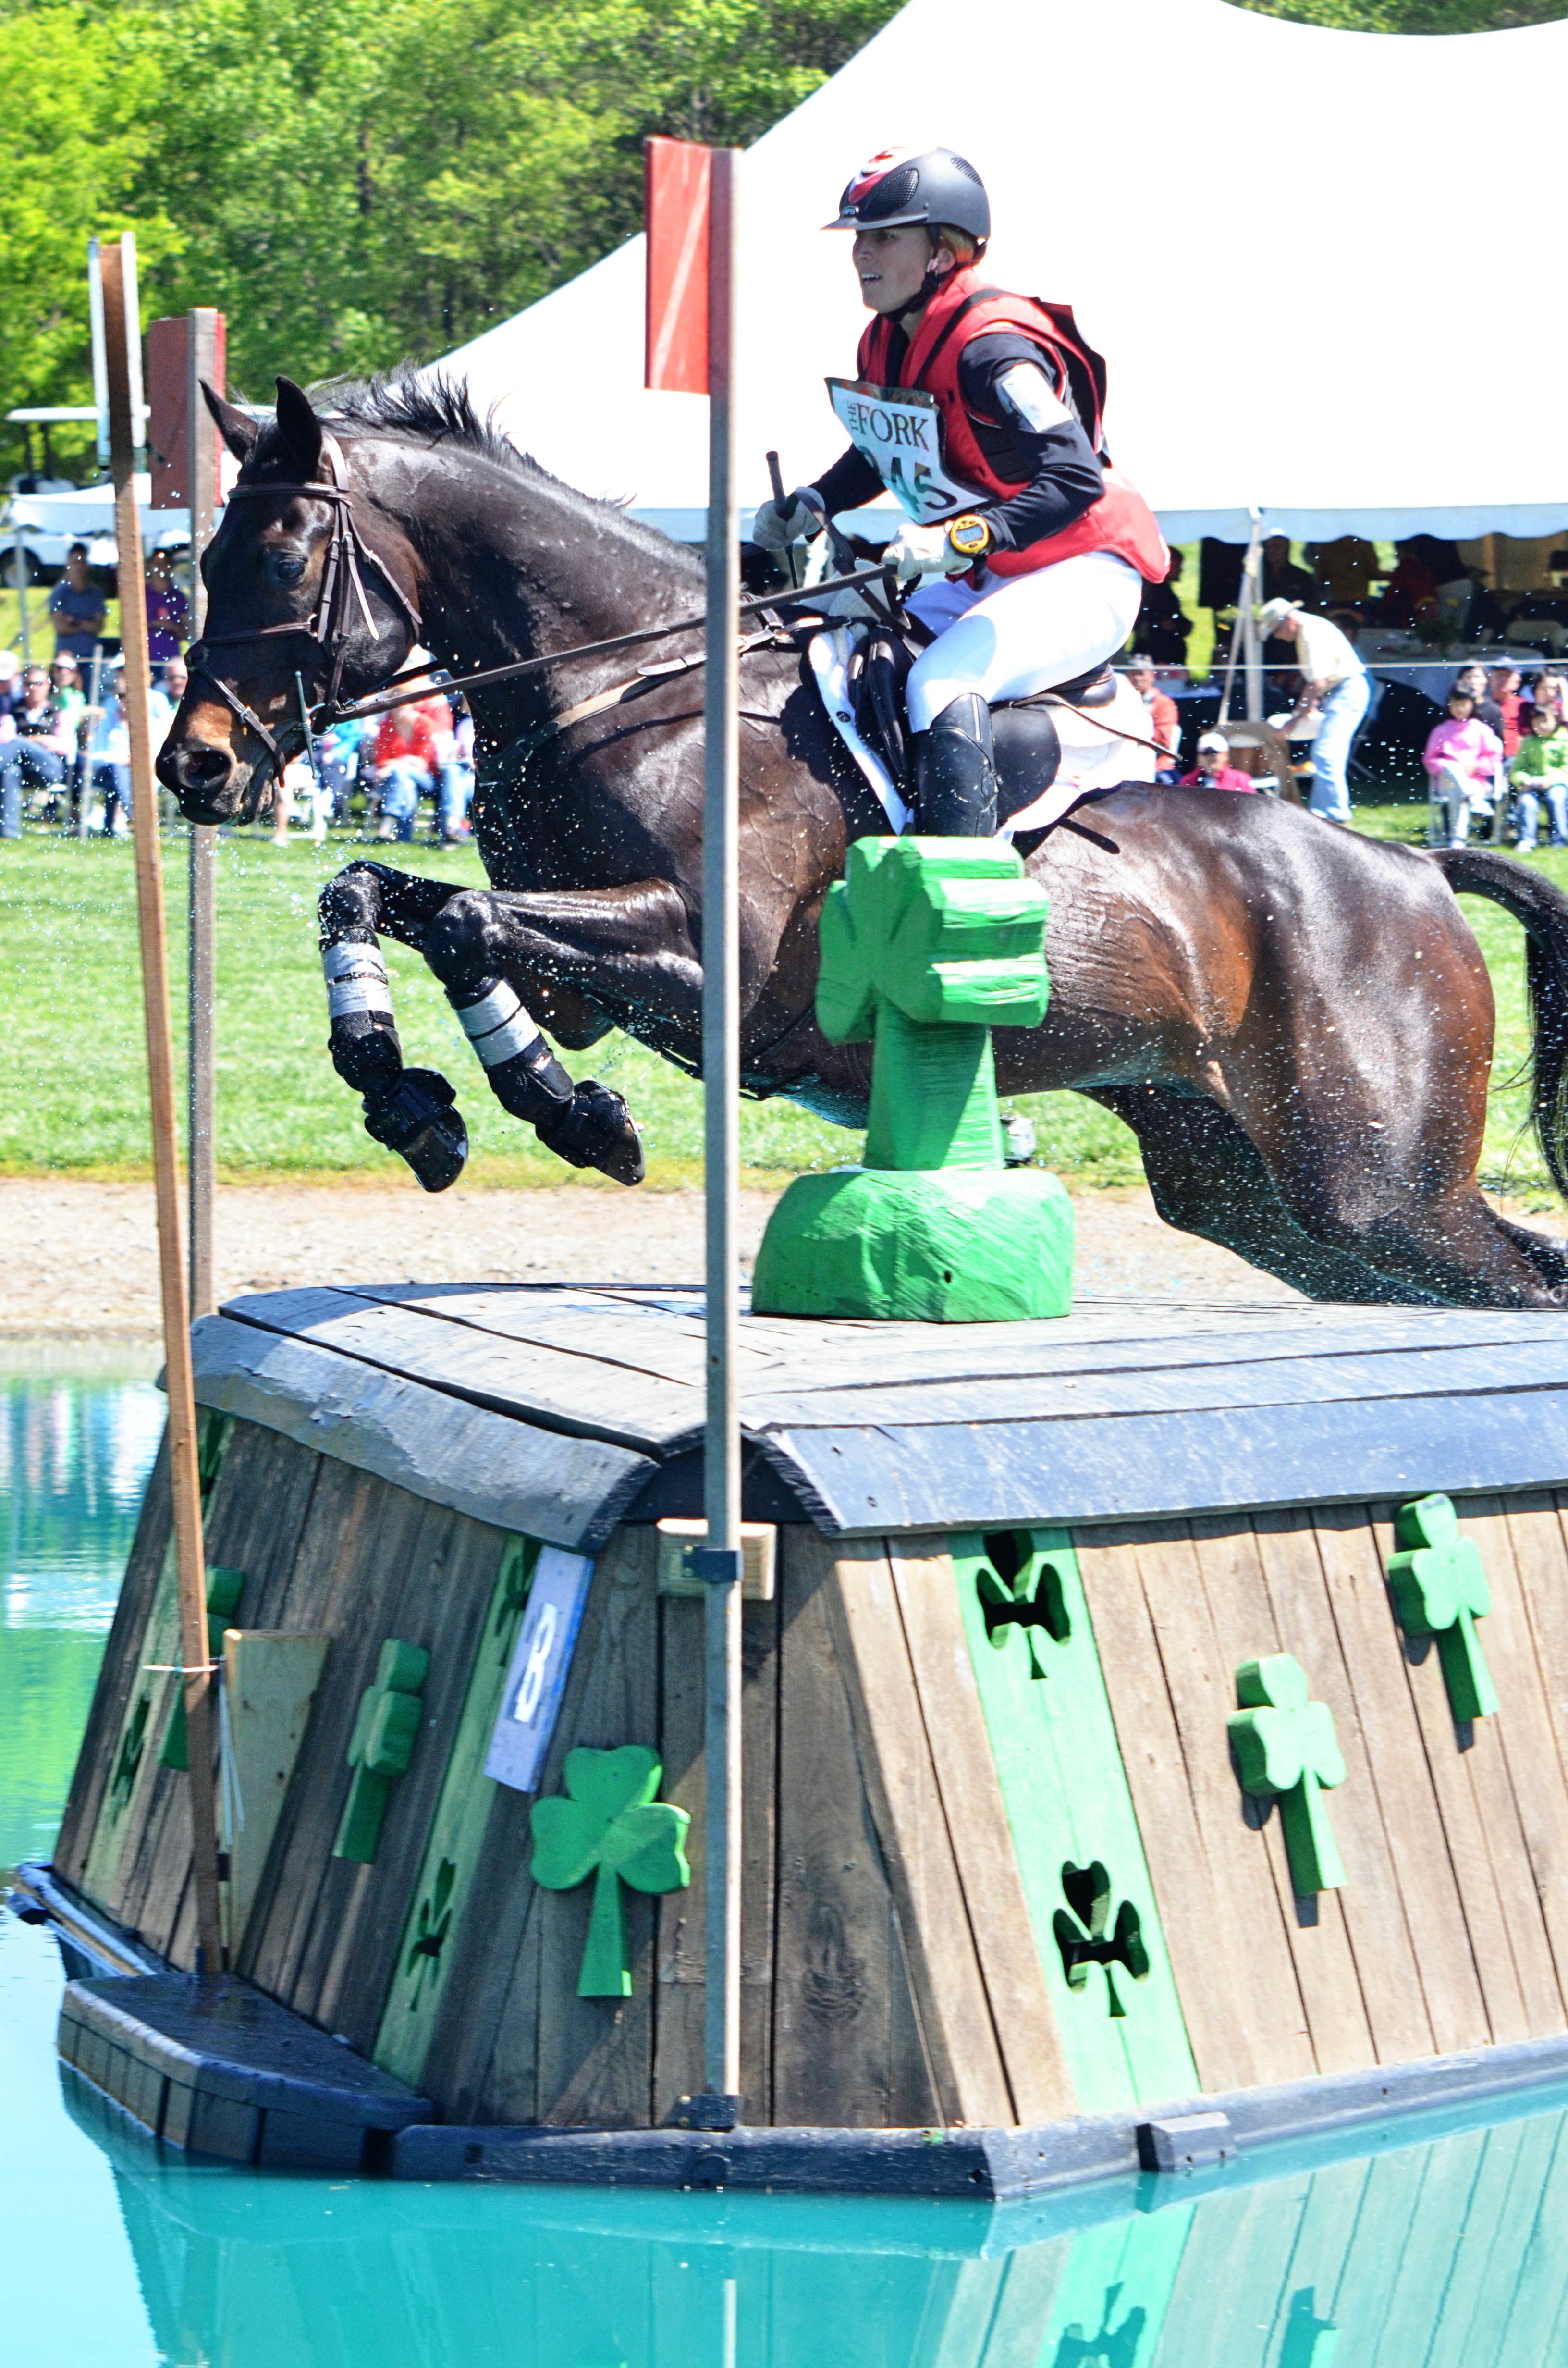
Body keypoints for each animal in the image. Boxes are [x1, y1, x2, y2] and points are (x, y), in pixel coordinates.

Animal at [157, 370, 1568, 1310]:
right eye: (201, 558)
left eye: (282, 559)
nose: (193, 765)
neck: (624, 685)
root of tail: (1414, 869)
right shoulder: (584, 982)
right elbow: (376, 898)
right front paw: (424, 1102)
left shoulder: (701, 962)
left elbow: (456, 921)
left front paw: (565, 1118)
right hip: (1255, 1191)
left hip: (1378, 1190)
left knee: (1513, 1276)